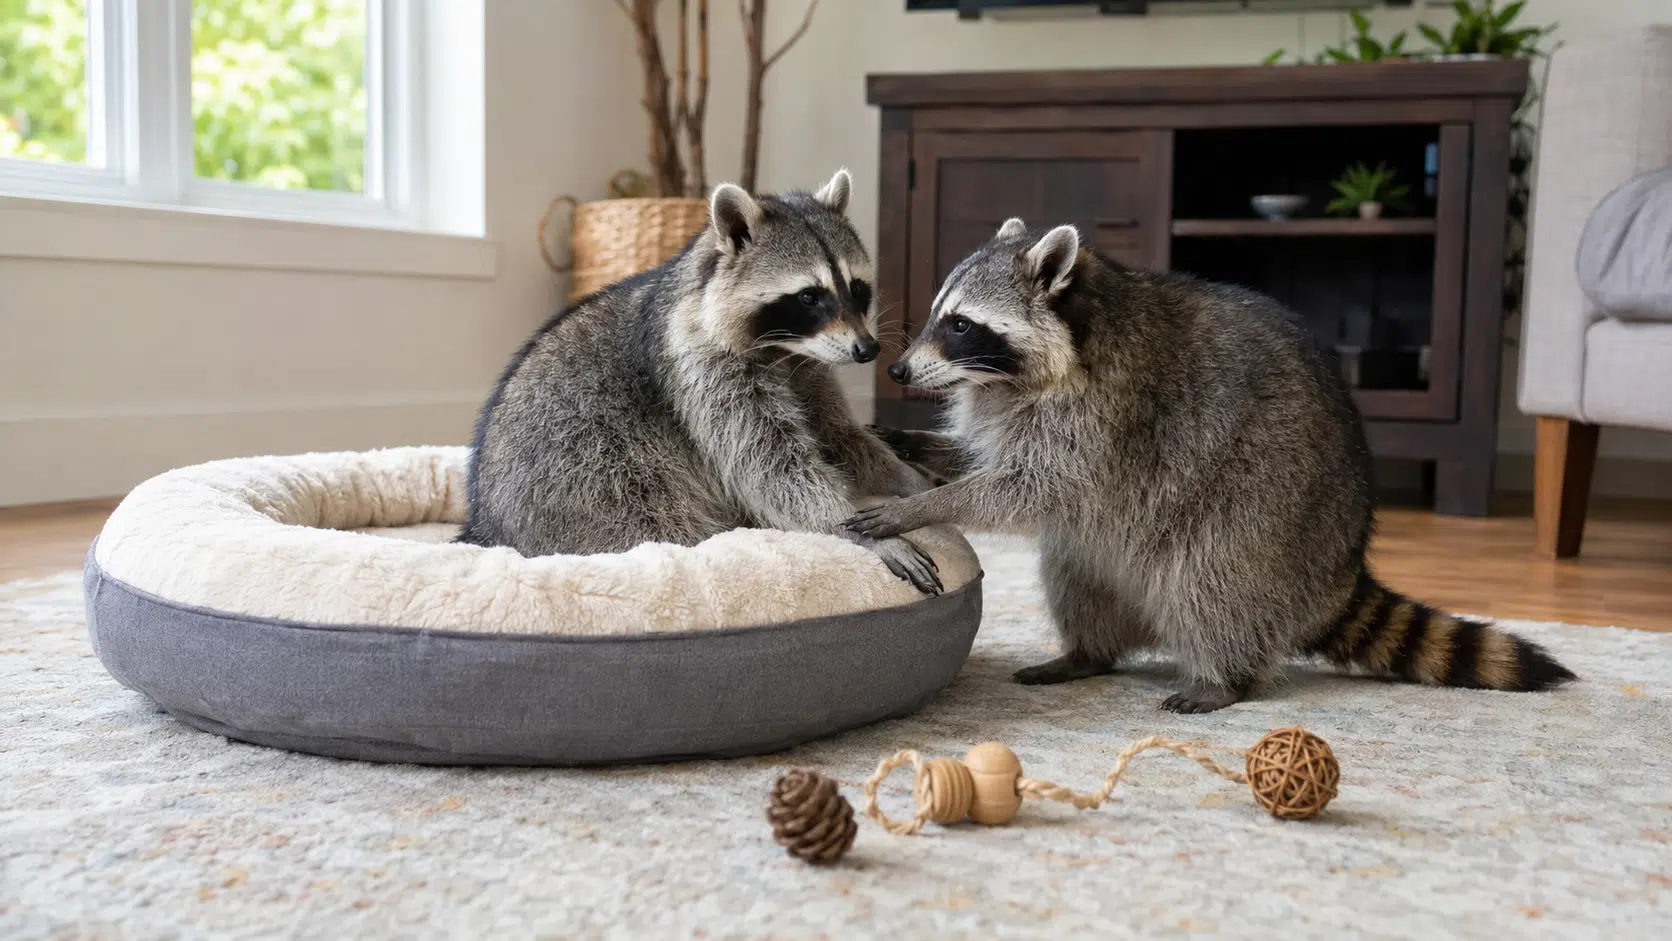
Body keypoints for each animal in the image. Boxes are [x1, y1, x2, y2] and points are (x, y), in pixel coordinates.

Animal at [460, 169, 942, 594]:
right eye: (809, 296)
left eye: (858, 289)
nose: (868, 350)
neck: (785, 349)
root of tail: (486, 522)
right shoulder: (700, 368)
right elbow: (771, 466)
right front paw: (856, 530)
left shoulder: (808, 368)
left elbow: (838, 434)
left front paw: (906, 480)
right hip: (588, 475)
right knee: (653, 516)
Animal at [847, 217, 1575, 711]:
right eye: (940, 315)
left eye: (961, 325)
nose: (899, 370)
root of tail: (1341, 565)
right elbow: (988, 458)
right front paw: (913, 443)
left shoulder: (1103, 423)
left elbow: (1027, 489)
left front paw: (925, 503)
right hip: (1124, 548)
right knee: (1078, 572)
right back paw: (1088, 651)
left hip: (1265, 515)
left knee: (1214, 583)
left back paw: (1226, 676)